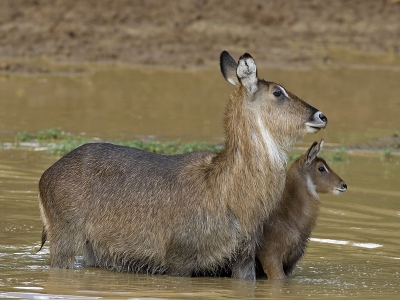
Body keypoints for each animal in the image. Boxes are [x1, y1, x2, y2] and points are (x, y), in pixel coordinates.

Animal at [37, 51, 326, 278]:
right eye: (278, 92)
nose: (321, 115)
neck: (230, 195)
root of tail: (45, 175)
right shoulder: (179, 259)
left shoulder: (243, 259)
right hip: (64, 238)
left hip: (93, 248)